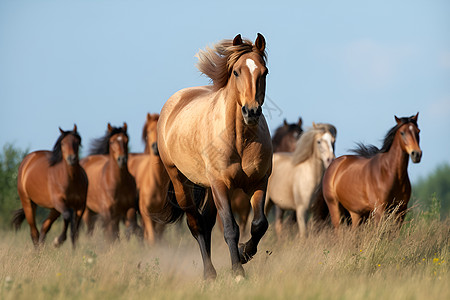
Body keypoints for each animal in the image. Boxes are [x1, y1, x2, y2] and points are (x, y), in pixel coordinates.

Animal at [157, 34, 270, 280]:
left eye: (264, 72)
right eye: (236, 72)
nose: (251, 112)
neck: (241, 139)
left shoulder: (260, 181)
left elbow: (259, 224)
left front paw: (244, 253)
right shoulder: (221, 184)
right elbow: (230, 228)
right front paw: (238, 271)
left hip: (207, 186)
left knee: (206, 223)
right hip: (181, 183)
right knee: (196, 225)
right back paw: (209, 273)